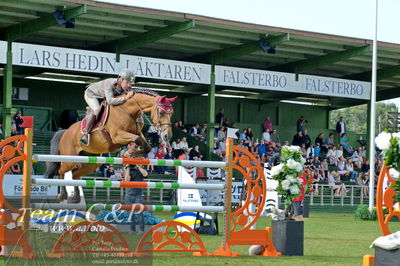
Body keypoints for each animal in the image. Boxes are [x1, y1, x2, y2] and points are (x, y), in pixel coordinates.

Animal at [44, 89, 177, 204]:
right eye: (161, 112)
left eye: (172, 114)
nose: (167, 136)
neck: (128, 110)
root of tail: (65, 132)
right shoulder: (117, 136)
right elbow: (137, 140)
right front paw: (129, 154)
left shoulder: (137, 133)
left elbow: (146, 146)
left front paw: (133, 155)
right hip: (70, 158)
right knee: (61, 171)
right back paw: (62, 195)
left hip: (92, 161)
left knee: (75, 174)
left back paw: (75, 198)